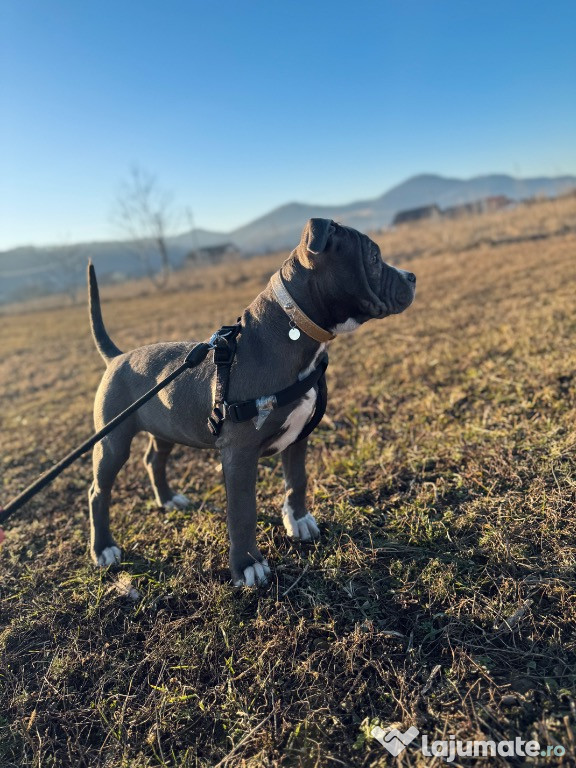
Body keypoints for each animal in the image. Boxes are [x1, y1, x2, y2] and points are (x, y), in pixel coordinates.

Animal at [89, 219, 414, 584]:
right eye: (373, 256)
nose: (412, 277)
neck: (291, 332)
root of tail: (117, 357)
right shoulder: (239, 453)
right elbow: (243, 511)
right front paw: (247, 564)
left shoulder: (298, 436)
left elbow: (297, 480)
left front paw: (298, 520)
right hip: (113, 443)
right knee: (98, 491)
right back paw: (104, 548)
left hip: (164, 428)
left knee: (153, 460)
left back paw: (168, 499)